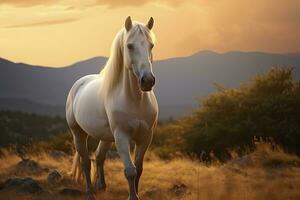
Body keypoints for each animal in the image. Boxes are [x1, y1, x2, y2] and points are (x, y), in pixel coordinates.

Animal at [66, 16, 158, 200]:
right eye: (130, 46)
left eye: (151, 45)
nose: (147, 81)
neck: (135, 101)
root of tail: (78, 84)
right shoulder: (121, 137)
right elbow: (130, 171)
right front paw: (132, 196)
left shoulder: (145, 137)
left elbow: (139, 169)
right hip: (78, 133)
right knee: (85, 162)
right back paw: (90, 193)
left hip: (106, 137)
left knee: (99, 156)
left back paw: (101, 185)